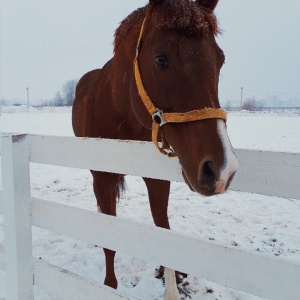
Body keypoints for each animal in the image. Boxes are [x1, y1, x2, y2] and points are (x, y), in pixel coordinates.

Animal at [72, 0, 237, 298]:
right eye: (161, 59)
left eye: (219, 59)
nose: (222, 170)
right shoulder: (102, 176)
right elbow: (110, 239)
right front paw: (109, 285)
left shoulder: (157, 178)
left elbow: (163, 228)